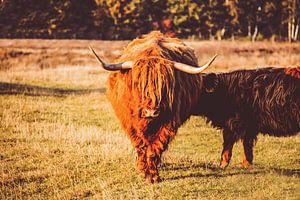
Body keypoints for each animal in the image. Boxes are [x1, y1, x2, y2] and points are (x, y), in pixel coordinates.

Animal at [90, 31, 217, 184]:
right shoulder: (131, 124)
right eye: (138, 84)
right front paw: (141, 169)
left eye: (164, 85)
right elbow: (140, 147)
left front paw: (153, 176)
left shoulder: (169, 124)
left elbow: (155, 148)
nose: (151, 111)